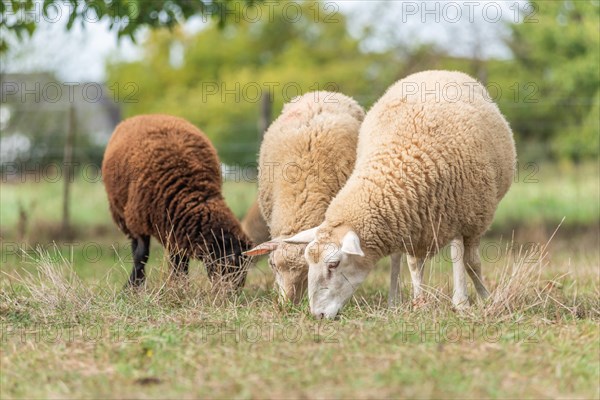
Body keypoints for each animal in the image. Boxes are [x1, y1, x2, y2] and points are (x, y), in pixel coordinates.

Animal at [102, 114, 252, 290]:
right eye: (228, 262)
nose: (231, 292)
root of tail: (146, 115)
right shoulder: (139, 221)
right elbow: (141, 255)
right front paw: (133, 287)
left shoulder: (175, 227)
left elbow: (179, 259)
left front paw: (179, 285)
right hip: (123, 215)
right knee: (134, 249)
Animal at [284, 69, 516, 318]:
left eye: (333, 264)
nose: (317, 315)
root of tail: (436, 71)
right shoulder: (415, 221)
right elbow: (414, 264)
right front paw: (420, 303)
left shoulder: (468, 217)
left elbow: (469, 262)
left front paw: (474, 301)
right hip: (405, 221)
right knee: (400, 258)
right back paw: (395, 301)